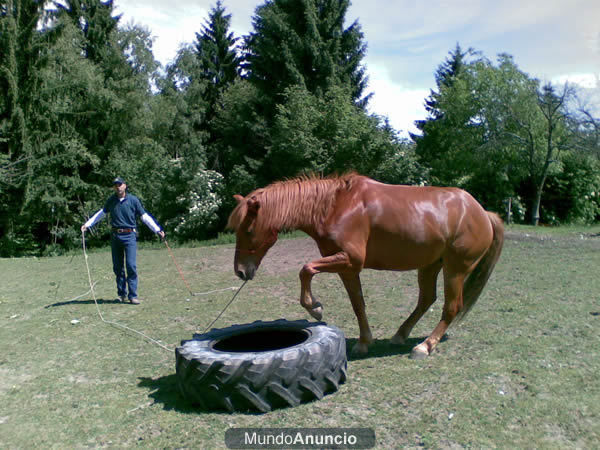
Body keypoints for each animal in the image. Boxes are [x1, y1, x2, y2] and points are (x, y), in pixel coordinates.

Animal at [227, 172, 504, 358]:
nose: (240, 271)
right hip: (430, 266)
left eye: (248, 229)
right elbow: (358, 304)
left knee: (451, 307)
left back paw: (425, 346)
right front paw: (363, 342)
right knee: (426, 299)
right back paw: (400, 335)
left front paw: (315, 308)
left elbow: (305, 269)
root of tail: (482, 213)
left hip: (455, 269)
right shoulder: (347, 268)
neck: (335, 206)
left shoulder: (349, 260)